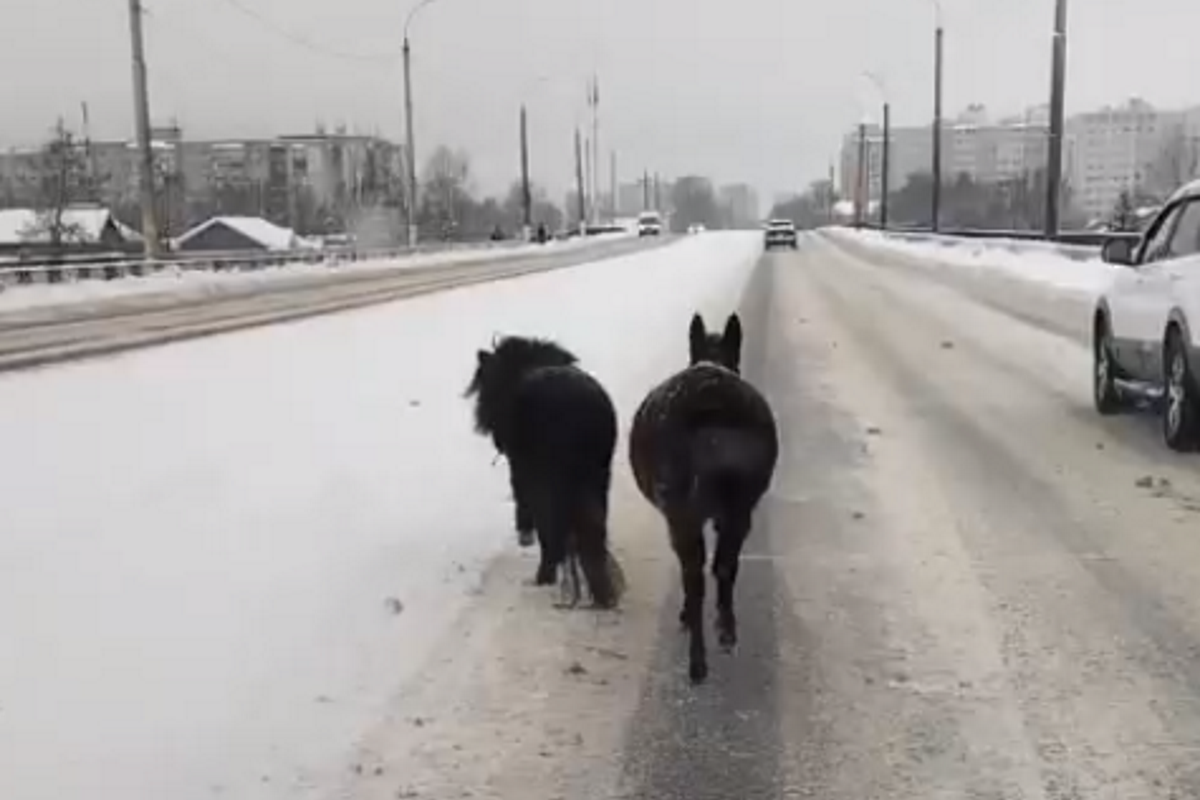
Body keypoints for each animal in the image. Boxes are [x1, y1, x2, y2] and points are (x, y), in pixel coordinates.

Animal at [463, 333, 624, 606]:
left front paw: (524, 535)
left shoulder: (520, 472)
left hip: (548, 482)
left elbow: (523, 505)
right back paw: (602, 592)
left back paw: (547, 577)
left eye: (488, 381)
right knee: (593, 529)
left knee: (553, 533)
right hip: (597, 477)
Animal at [628, 311, 777, 681]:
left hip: (683, 515)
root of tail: (713, 406)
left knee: (694, 579)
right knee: (724, 566)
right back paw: (726, 632)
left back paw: (697, 660)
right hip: (740, 509)